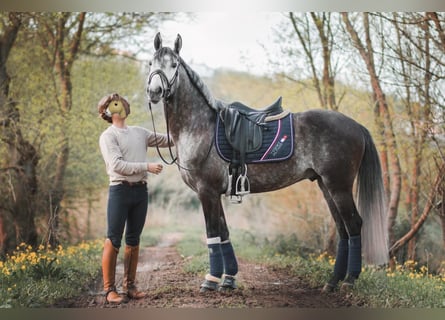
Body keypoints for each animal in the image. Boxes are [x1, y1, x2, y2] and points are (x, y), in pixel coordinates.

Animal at [147, 33, 388, 296]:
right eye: (151, 63)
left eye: (174, 65)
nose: (154, 91)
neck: (200, 127)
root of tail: (356, 126)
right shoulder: (216, 193)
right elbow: (224, 233)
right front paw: (228, 280)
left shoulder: (206, 192)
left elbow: (213, 234)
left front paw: (211, 280)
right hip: (327, 186)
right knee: (342, 228)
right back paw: (333, 281)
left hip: (339, 186)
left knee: (353, 225)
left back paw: (349, 280)